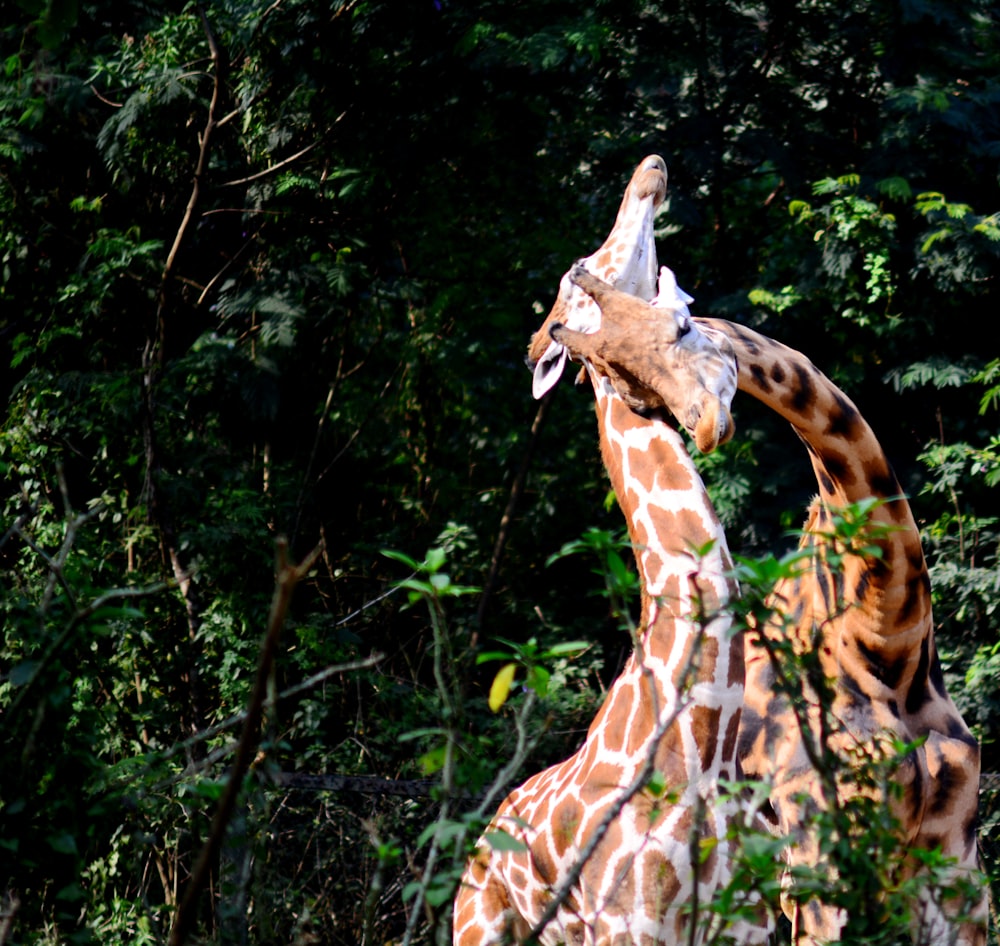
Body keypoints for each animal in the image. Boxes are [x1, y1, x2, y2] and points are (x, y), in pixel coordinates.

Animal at [454, 159, 772, 940]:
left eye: (683, 323)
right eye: (588, 267)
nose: (648, 171)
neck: (703, 753)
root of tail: (487, 832)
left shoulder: (747, 924)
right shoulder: (634, 924)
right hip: (477, 923)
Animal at [528, 270, 988, 944]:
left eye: (682, 329)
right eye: (621, 377)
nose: (705, 425)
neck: (888, 640)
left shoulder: (957, 869)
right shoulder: (822, 866)